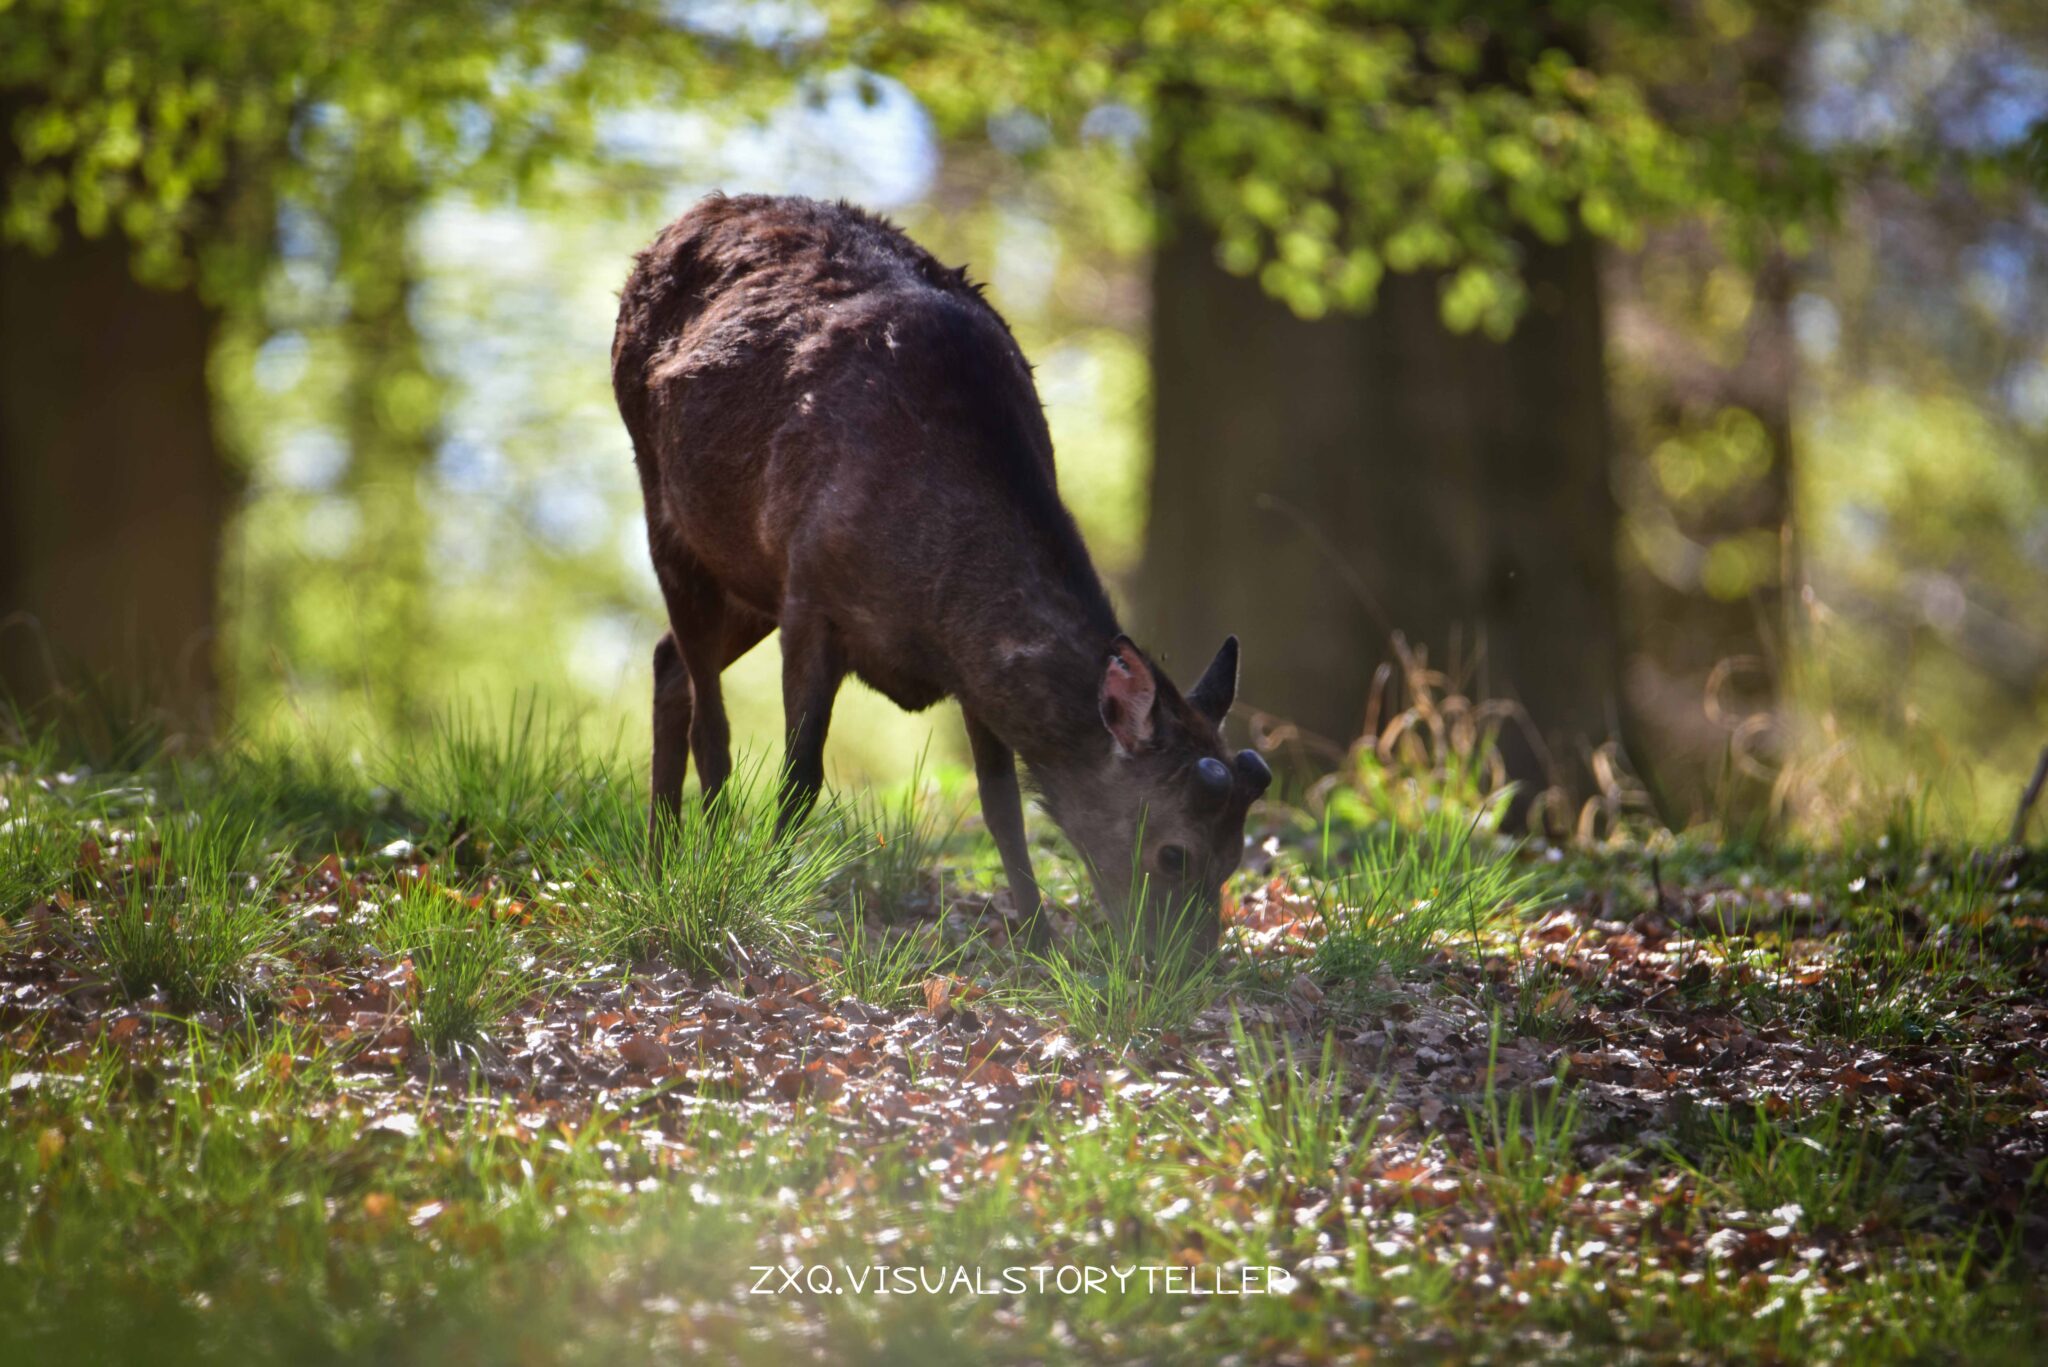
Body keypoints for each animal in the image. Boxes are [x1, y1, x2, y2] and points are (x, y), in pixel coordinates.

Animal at [610, 194, 1269, 950]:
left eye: (1234, 855)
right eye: (1172, 851)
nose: (1187, 963)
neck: (932, 597)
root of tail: (684, 220)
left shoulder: (969, 667)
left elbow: (1002, 805)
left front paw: (1038, 938)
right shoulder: (811, 594)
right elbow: (801, 777)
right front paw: (769, 893)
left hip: (747, 576)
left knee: (667, 663)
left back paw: (659, 863)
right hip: (666, 506)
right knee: (707, 716)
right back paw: (705, 863)